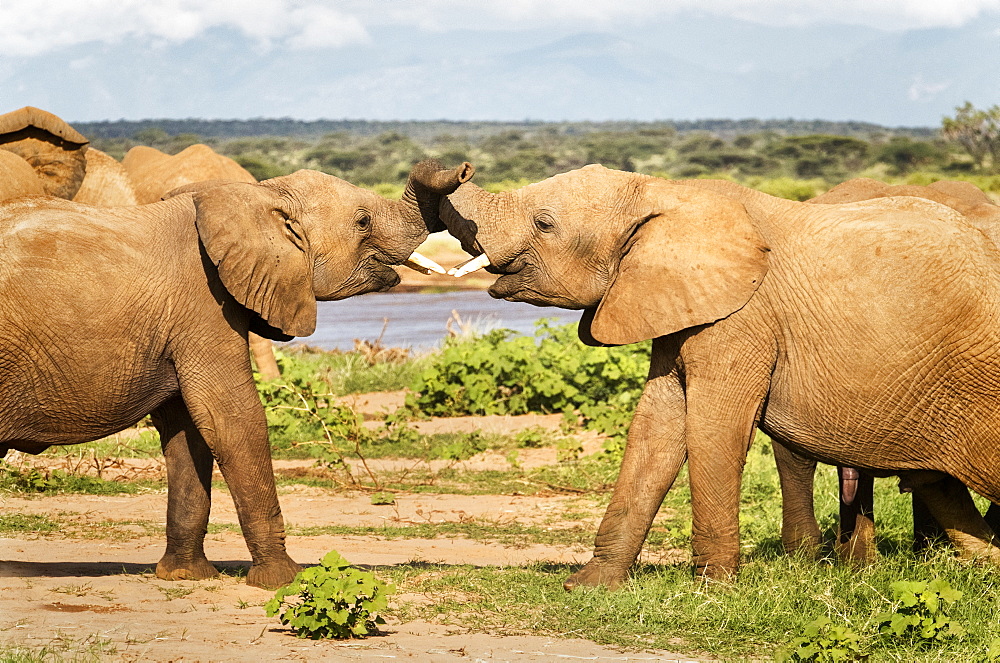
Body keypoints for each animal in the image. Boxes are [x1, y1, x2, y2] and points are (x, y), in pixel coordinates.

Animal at [1, 158, 474, 588]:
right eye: (362, 221)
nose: (463, 168)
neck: (262, 195)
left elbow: (188, 432)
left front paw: (185, 577)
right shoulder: (203, 303)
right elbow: (233, 419)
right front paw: (284, 580)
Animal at [440, 165, 1000, 588]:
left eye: (544, 222)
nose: (459, 169)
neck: (661, 191)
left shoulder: (741, 317)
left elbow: (713, 430)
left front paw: (714, 587)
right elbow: (655, 428)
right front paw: (588, 586)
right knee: (935, 480)